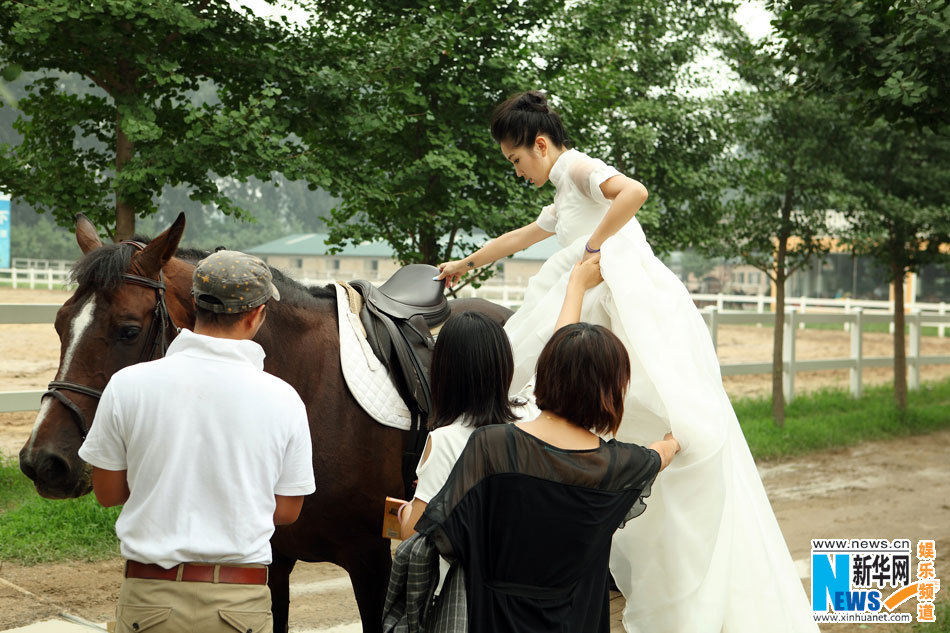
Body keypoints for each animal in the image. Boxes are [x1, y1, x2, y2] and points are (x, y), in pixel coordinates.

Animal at [16, 214, 512, 632]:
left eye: (128, 330)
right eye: (60, 324)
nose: (43, 462)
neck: (313, 388)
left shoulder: (371, 560)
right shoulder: (270, 562)